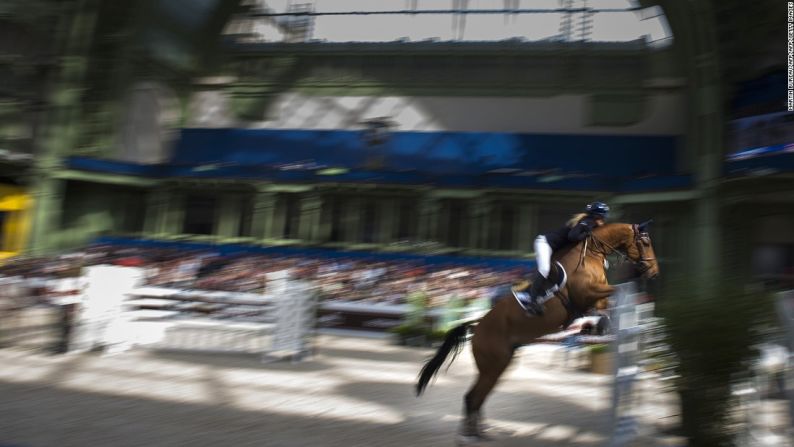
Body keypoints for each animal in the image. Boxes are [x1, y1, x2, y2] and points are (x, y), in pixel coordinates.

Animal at [412, 220, 660, 444]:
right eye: (646, 242)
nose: (654, 273)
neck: (591, 253)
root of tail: (476, 326)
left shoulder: (594, 298)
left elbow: (604, 305)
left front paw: (598, 325)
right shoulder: (588, 292)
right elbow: (614, 292)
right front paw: (601, 323)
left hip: (499, 366)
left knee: (477, 397)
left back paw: (479, 434)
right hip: (492, 366)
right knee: (473, 397)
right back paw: (469, 436)